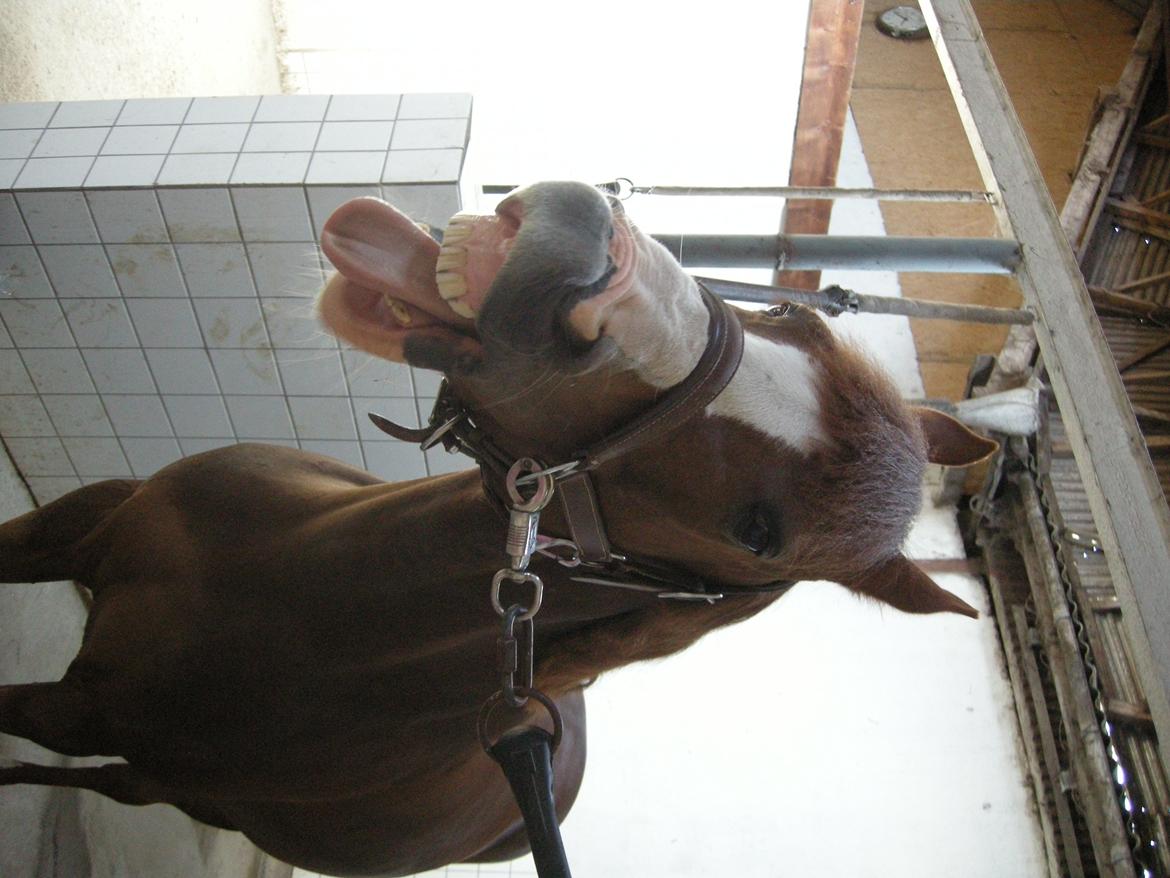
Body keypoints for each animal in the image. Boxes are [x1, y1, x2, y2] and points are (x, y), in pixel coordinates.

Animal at [0, 181, 995, 875]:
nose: (595, 255)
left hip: (156, 780)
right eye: (791, 311)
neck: (288, 596)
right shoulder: (81, 519)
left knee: (102, 781)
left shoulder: (91, 715)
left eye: (758, 531)